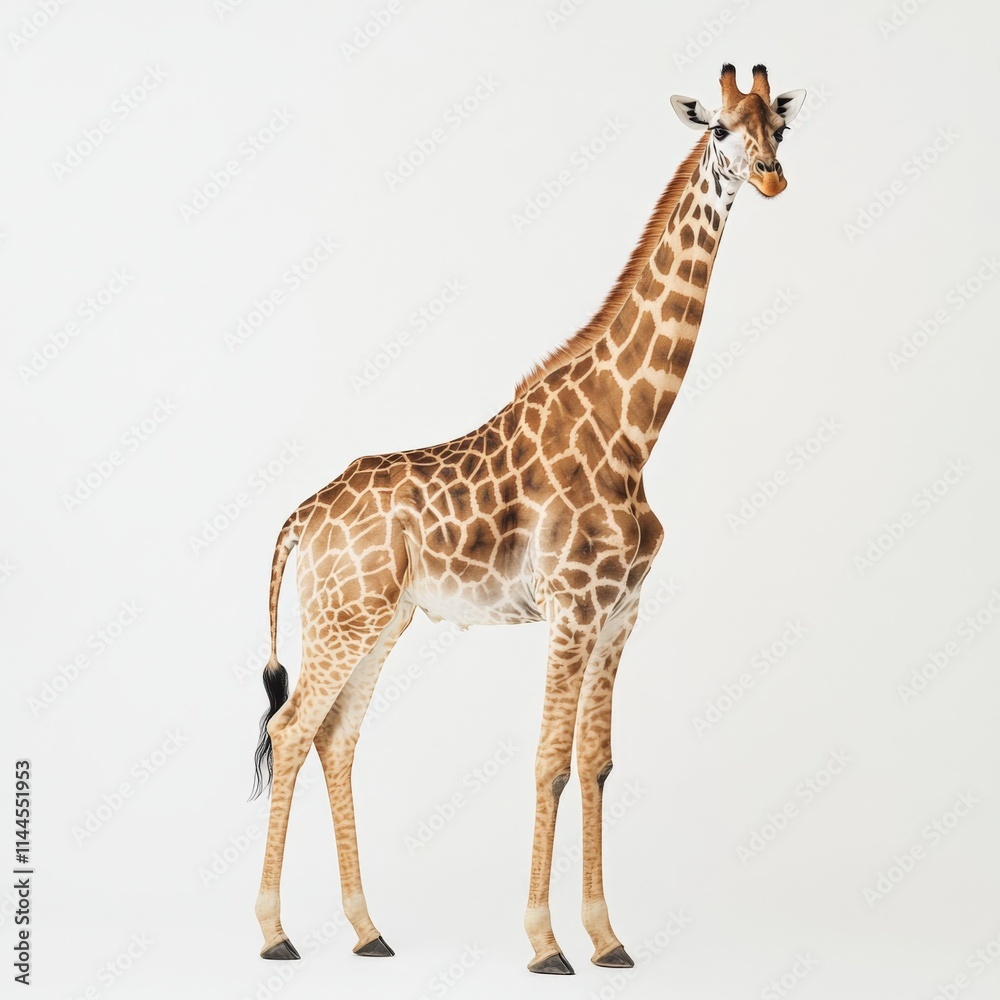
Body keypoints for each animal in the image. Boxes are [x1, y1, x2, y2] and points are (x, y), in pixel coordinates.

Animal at [251, 63, 806, 974]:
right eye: (720, 128)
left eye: (780, 129)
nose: (770, 179)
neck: (631, 430)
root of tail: (302, 514)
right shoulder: (573, 607)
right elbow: (549, 762)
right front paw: (546, 945)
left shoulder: (621, 612)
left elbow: (598, 762)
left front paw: (608, 940)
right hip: (343, 615)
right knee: (293, 726)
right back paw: (274, 934)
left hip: (380, 619)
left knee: (335, 736)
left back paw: (369, 932)